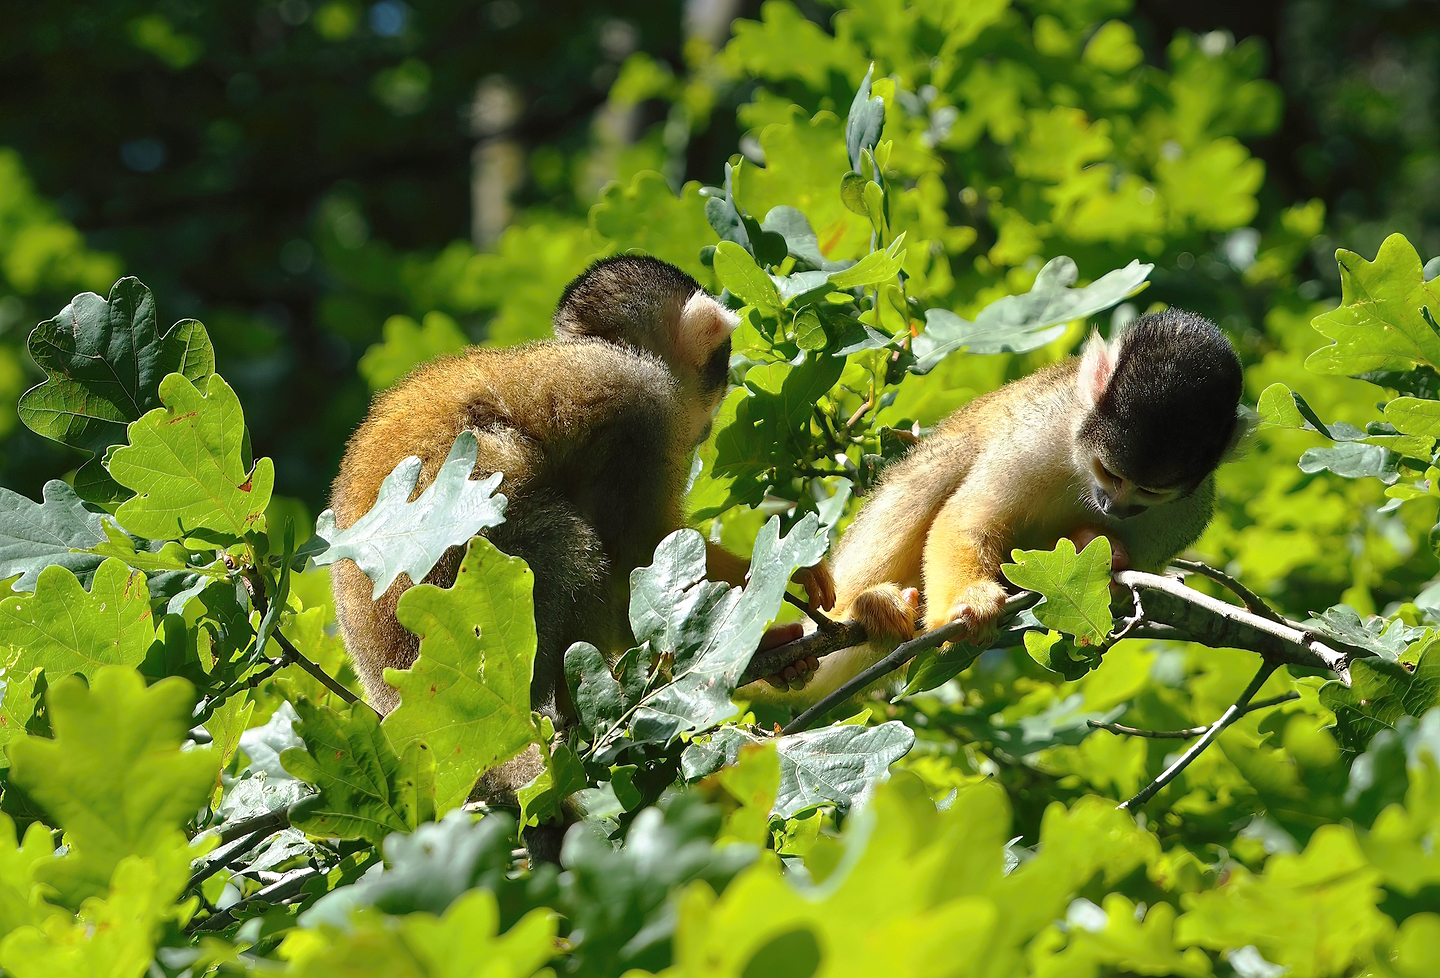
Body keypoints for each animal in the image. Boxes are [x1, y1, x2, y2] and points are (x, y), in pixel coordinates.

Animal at [745, 308, 1249, 708]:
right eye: (1110, 474)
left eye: (1150, 493)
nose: (1115, 508)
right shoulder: (1041, 430)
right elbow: (969, 518)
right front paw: (969, 601)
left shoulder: (1187, 509)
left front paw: (1107, 556)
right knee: (945, 464)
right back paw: (866, 607)